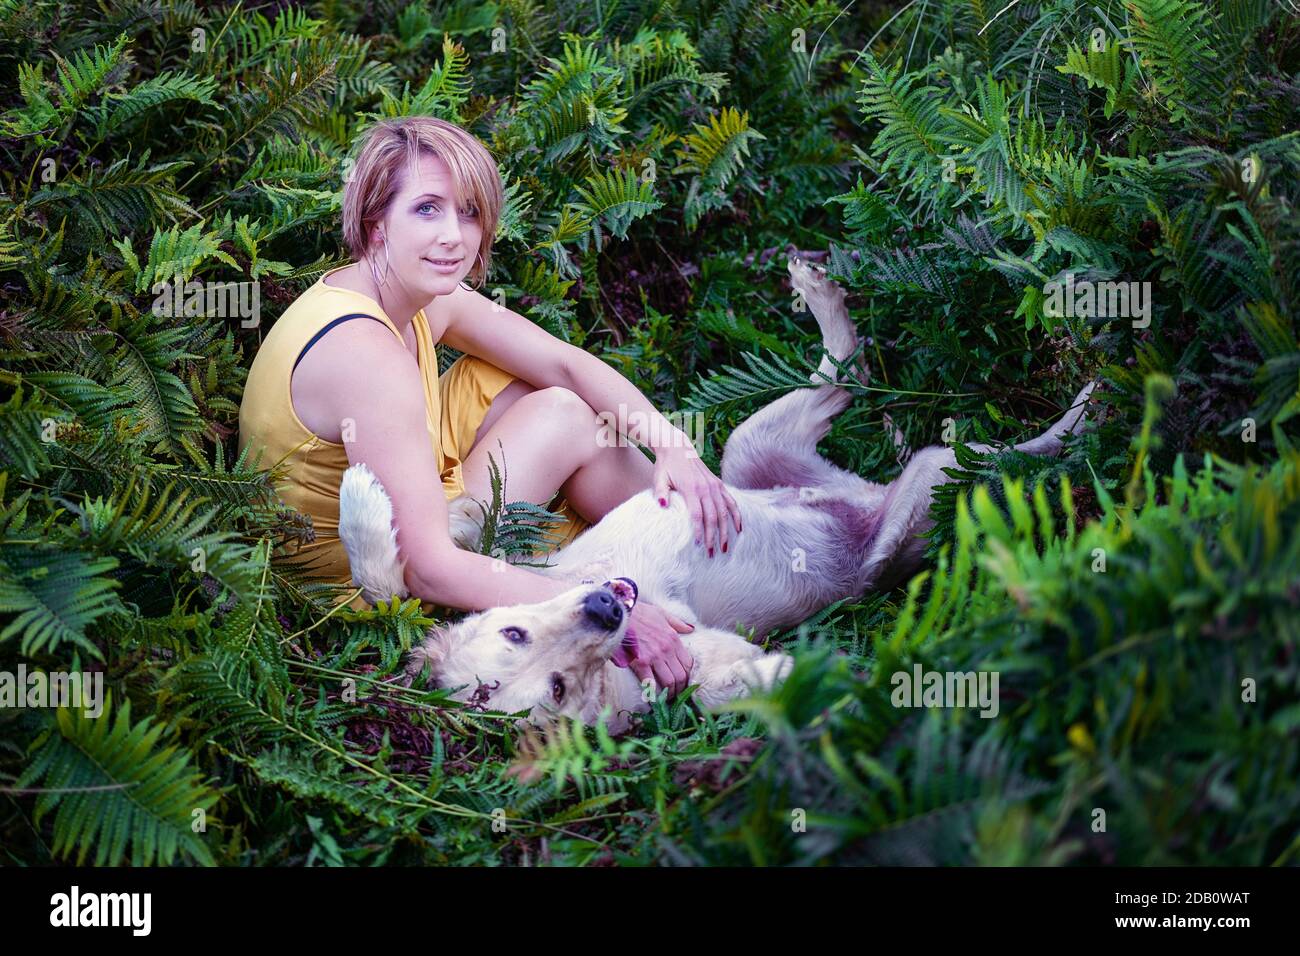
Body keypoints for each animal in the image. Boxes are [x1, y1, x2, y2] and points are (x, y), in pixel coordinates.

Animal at [338, 260, 1097, 733]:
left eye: (513, 632)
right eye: (557, 688)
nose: (605, 608)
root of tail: (863, 498)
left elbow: (412, 560)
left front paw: (366, 500)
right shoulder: (707, 663)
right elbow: (768, 680)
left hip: (746, 449)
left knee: (845, 374)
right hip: (930, 489)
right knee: (997, 458)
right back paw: (1086, 413)